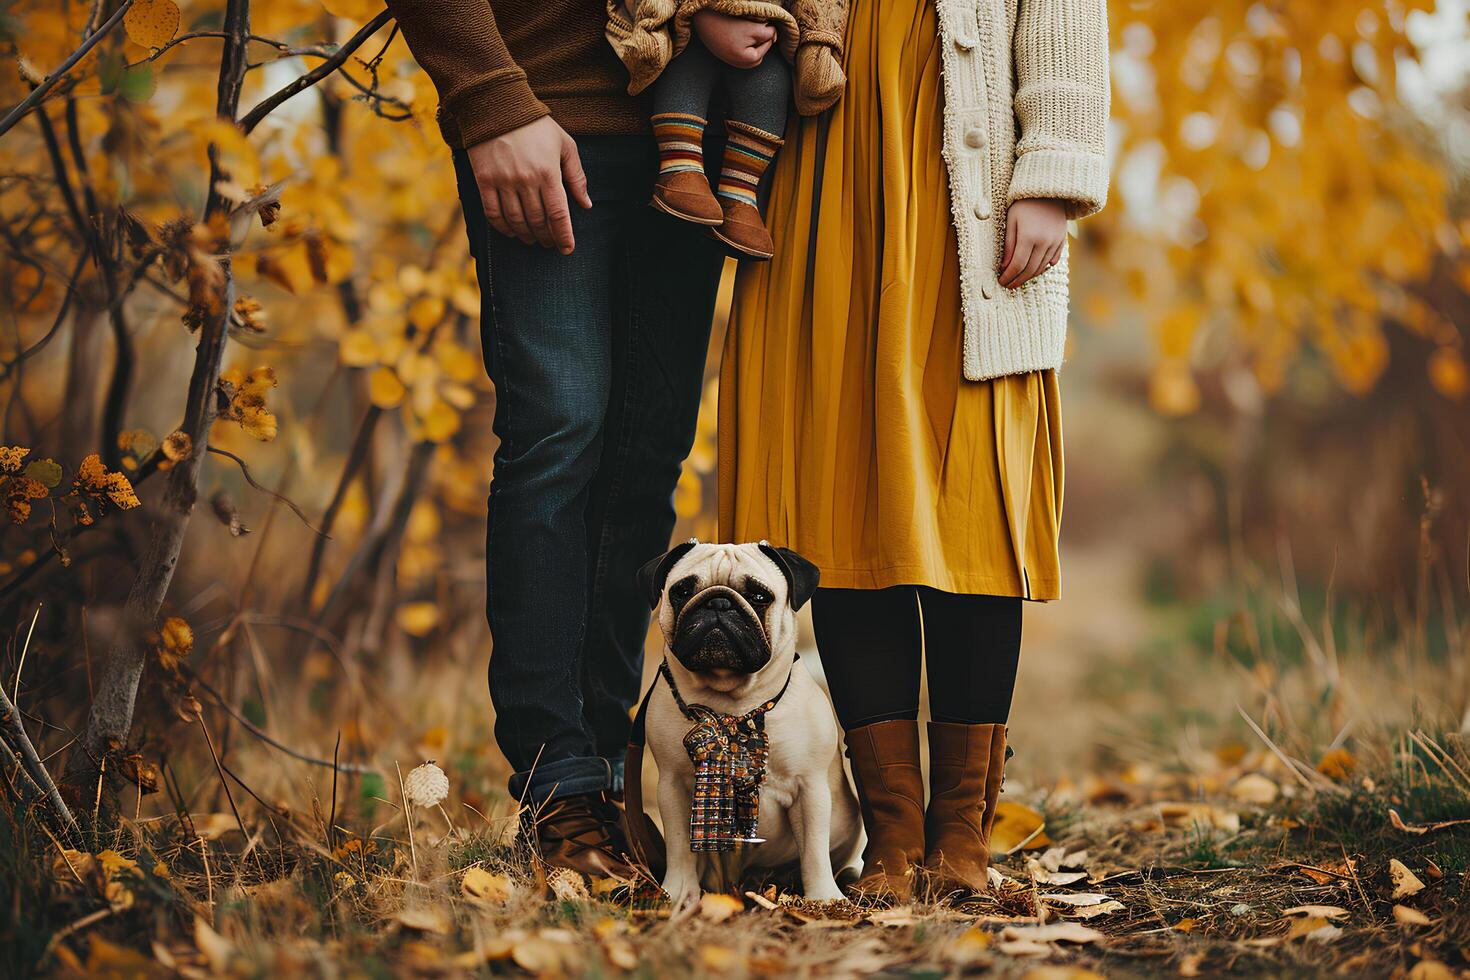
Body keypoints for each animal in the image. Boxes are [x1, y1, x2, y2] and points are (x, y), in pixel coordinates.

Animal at [635, 540, 858, 910]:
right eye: (682, 591)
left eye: (759, 596)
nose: (718, 602)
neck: (733, 702)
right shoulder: (673, 786)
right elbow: (680, 846)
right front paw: (678, 893)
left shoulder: (810, 788)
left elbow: (814, 850)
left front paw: (823, 899)